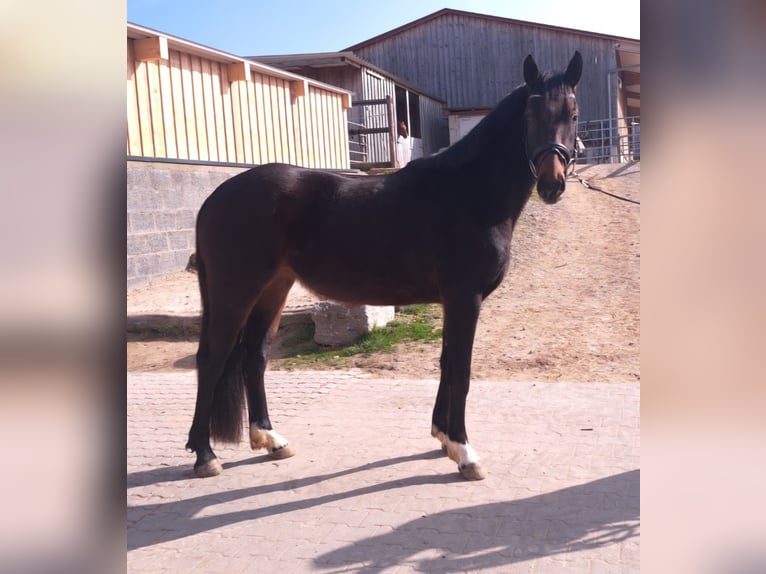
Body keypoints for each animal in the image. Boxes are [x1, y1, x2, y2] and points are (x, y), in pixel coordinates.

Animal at [186, 51, 583, 480]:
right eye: (531, 113)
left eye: (573, 114)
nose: (552, 185)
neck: (468, 193)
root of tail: (215, 198)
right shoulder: (465, 298)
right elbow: (460, 370)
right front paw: (464, 452)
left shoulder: (453, 301)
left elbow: (446, 363)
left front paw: (443, 437)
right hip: (235, 289)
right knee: (213, 357)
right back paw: (205, 454)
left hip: (274, 288)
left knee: (254, 355)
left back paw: (271, 439)